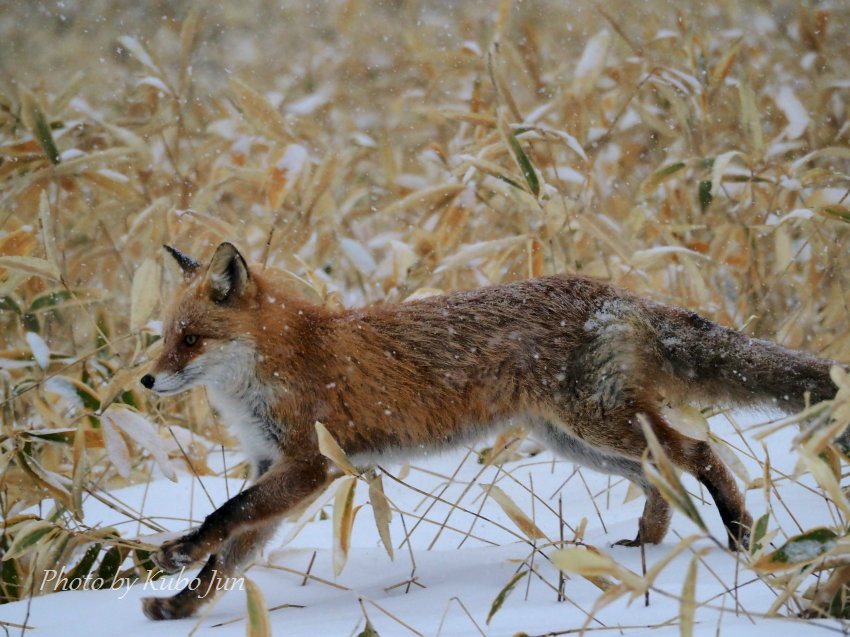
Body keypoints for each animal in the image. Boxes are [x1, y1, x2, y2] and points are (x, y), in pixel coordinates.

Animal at [141, 241, 840, 620]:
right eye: (165, 337)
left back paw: (739, 536)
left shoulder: (313, 464)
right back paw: (644, 548)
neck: (277, 363)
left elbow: (226, 516)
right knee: (660, 474)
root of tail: (614, 292)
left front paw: (179, 552)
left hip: (595, 425)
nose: (146, 381)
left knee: (699, 451)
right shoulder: (273, 466)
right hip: (575, 438)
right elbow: (229, 556)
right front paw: (179, 607)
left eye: (191, 340)